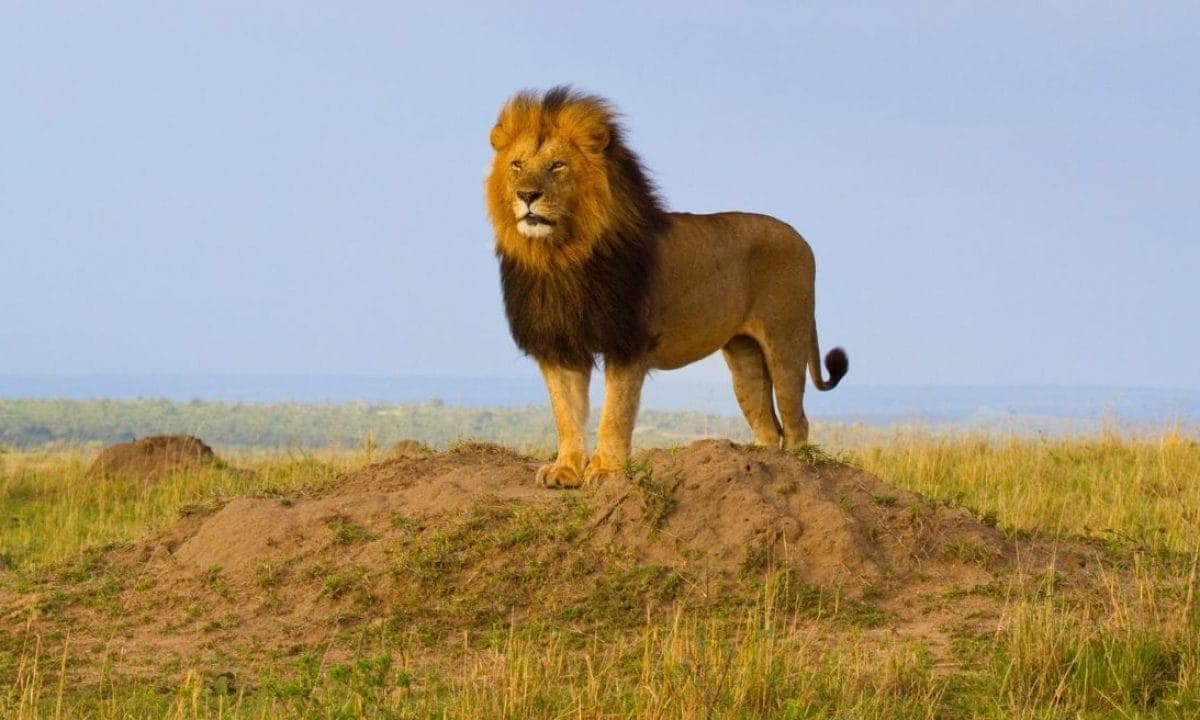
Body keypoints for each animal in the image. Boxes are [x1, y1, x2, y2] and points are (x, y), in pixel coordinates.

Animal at [486, 87, 848, 487]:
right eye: (517, 165)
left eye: (557, 166)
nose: (526, 195)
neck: (561, 257)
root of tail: (800, 237)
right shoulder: (559, 345)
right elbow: (566, 414)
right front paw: (565, 470)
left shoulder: (627, 342)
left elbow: (615, 413)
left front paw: (606, 471)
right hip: (745, 357)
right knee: (769, 426)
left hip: (786, 339)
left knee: (797, 423)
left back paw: (796, 474)